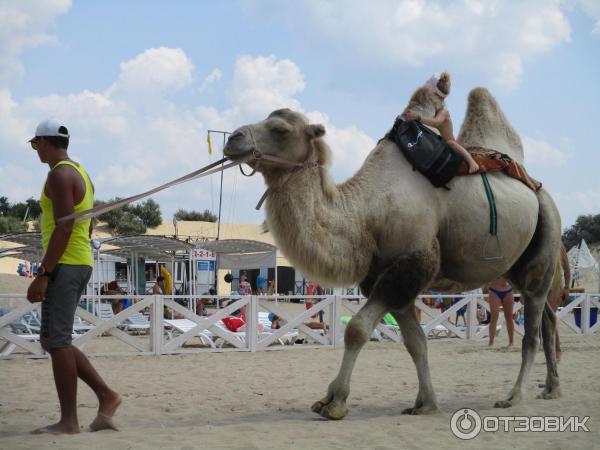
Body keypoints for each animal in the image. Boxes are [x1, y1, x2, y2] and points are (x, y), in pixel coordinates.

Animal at [221, 87, 564, 418]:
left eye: (280, 129)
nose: (233, 138)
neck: (367, 214)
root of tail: (541, 191)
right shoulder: (390, 279)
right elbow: (416, 342)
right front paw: (425, 403)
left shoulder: (411, 264)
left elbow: (357, 330)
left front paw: (334, 402)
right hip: (516, 268)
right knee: (548, 318)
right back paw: (551, 388)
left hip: (544, 244)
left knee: (533, 331)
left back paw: (514, 396)